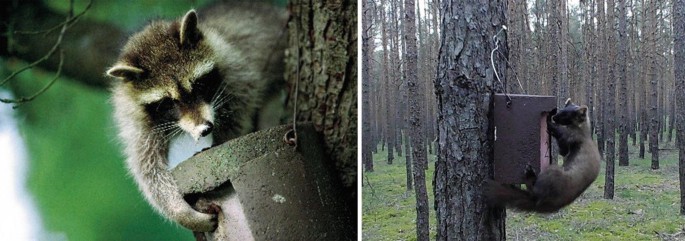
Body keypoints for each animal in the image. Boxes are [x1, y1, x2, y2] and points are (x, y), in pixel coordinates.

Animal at [106, 2, 286, 231]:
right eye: (167, 103)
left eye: (199, 84)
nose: (205, 129)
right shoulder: (135, 118)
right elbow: (147, 168)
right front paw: (179, 210)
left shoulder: (234, 67)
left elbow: (239, 111)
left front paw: (222, 138)